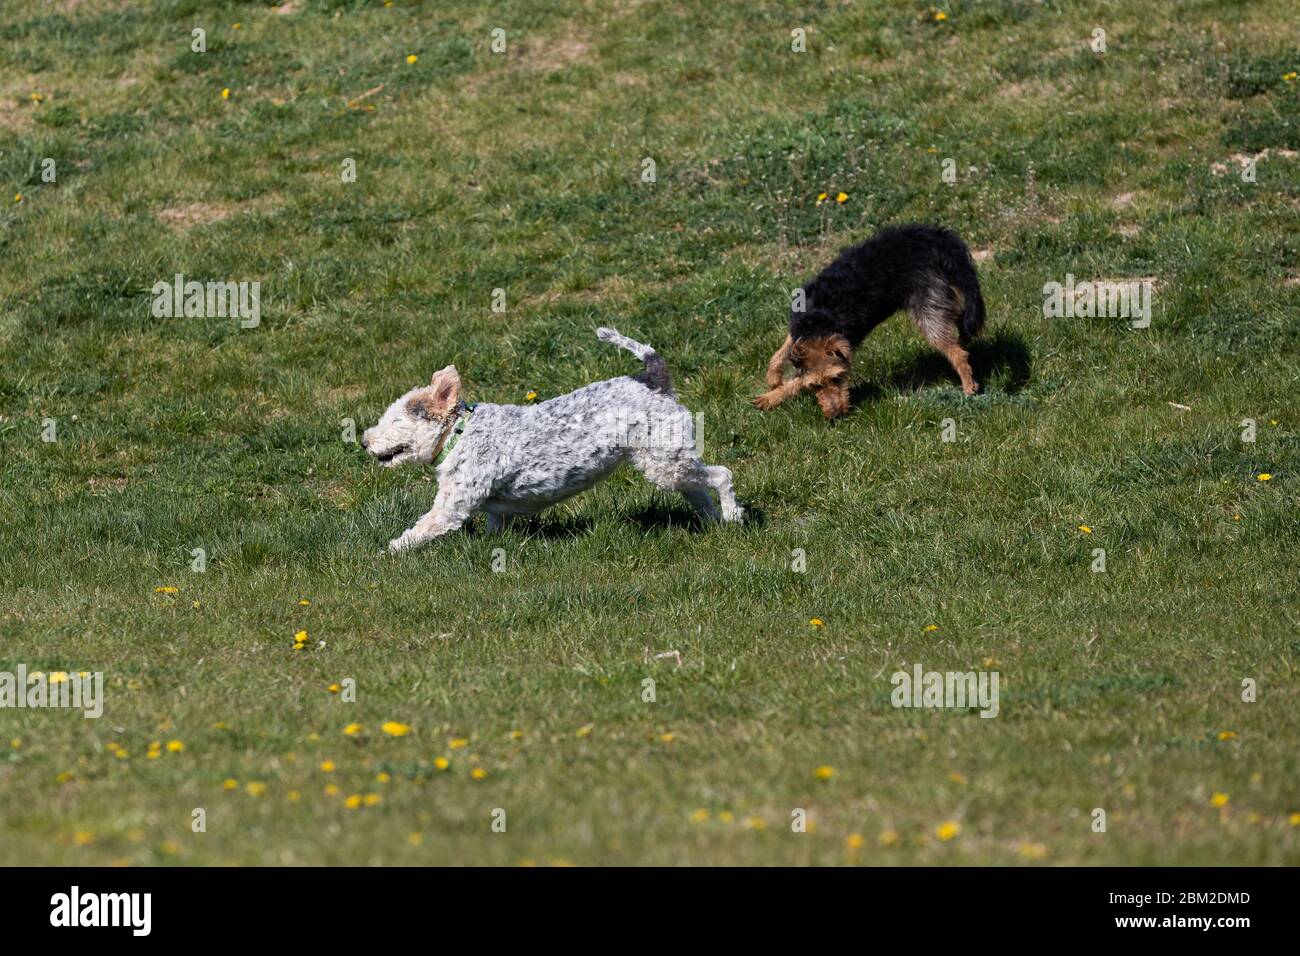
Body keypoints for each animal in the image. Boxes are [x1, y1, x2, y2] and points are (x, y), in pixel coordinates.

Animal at [364, 329, 743, 554]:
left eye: (395, 420)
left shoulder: (450, 506)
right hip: (669, 459)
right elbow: (493, 529)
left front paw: (385, 553)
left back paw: (733, 515)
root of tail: (653, 379)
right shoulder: (495, 512)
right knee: (698, 489)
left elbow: (419, 530)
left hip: (664, 462)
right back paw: (714, 523)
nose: (365, 441)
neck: (460, 434)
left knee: (722, 475)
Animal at [754, 226, 982, 421]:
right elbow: (783, 350)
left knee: (957, 353)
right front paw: (773, 380)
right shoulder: (797, 330)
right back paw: (964, 340)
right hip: (943, 298)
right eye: (816, 386)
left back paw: (968, 388)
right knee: (962, 320)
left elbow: (796, 380)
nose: (836, 416)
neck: (818, 320)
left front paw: (772, 396)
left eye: (837, 379)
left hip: (929, 311)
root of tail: (936, 238)